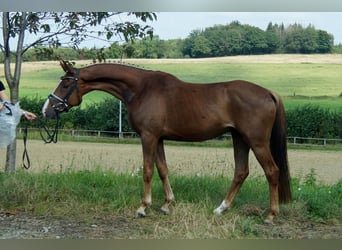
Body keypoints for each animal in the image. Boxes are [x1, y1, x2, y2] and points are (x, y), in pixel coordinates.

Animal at [42, 61, 292, 225]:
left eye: (65, 85)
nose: (46, 110)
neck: (141, 89)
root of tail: (268, 93)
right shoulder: (159, 138)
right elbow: (162, 169)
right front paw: (166, 204)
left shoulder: (148, 137)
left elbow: (147, 170)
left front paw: (143, 207)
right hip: (239, 138)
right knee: (241, 172)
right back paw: (221, 208)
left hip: (256, 141)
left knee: (272, 171)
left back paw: (270, 215)